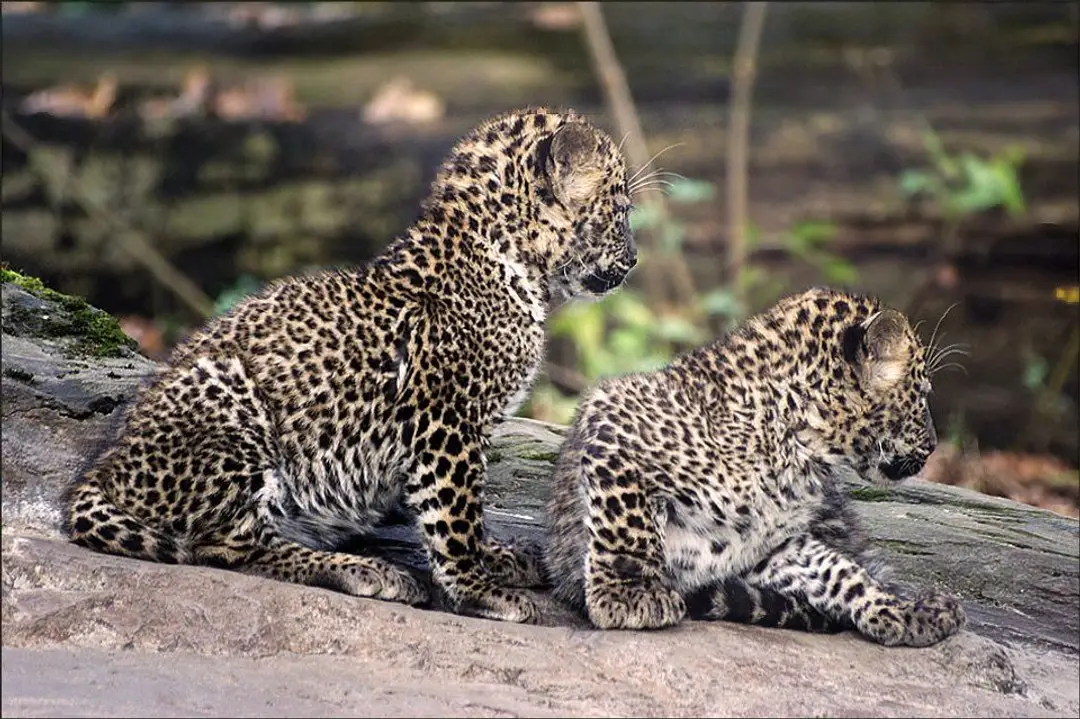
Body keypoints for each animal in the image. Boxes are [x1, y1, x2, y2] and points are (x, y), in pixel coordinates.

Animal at [64, 106, 638, 624]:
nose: (634, 261)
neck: (513, 265)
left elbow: (462, 516)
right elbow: (453, 517)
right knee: (225, 546)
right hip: (227, 395)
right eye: (622, 209)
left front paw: (497, 557)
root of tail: (105, 470)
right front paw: (481, 592)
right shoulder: (445, 423)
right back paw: (365, 571)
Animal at [544, 286, 967, 646]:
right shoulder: (613, 416)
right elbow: (627, 527)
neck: (800, 448)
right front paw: (630, 597)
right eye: (922, 394)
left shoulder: (767, 546)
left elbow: (837, 573)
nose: (934, 446)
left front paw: (904, 612)